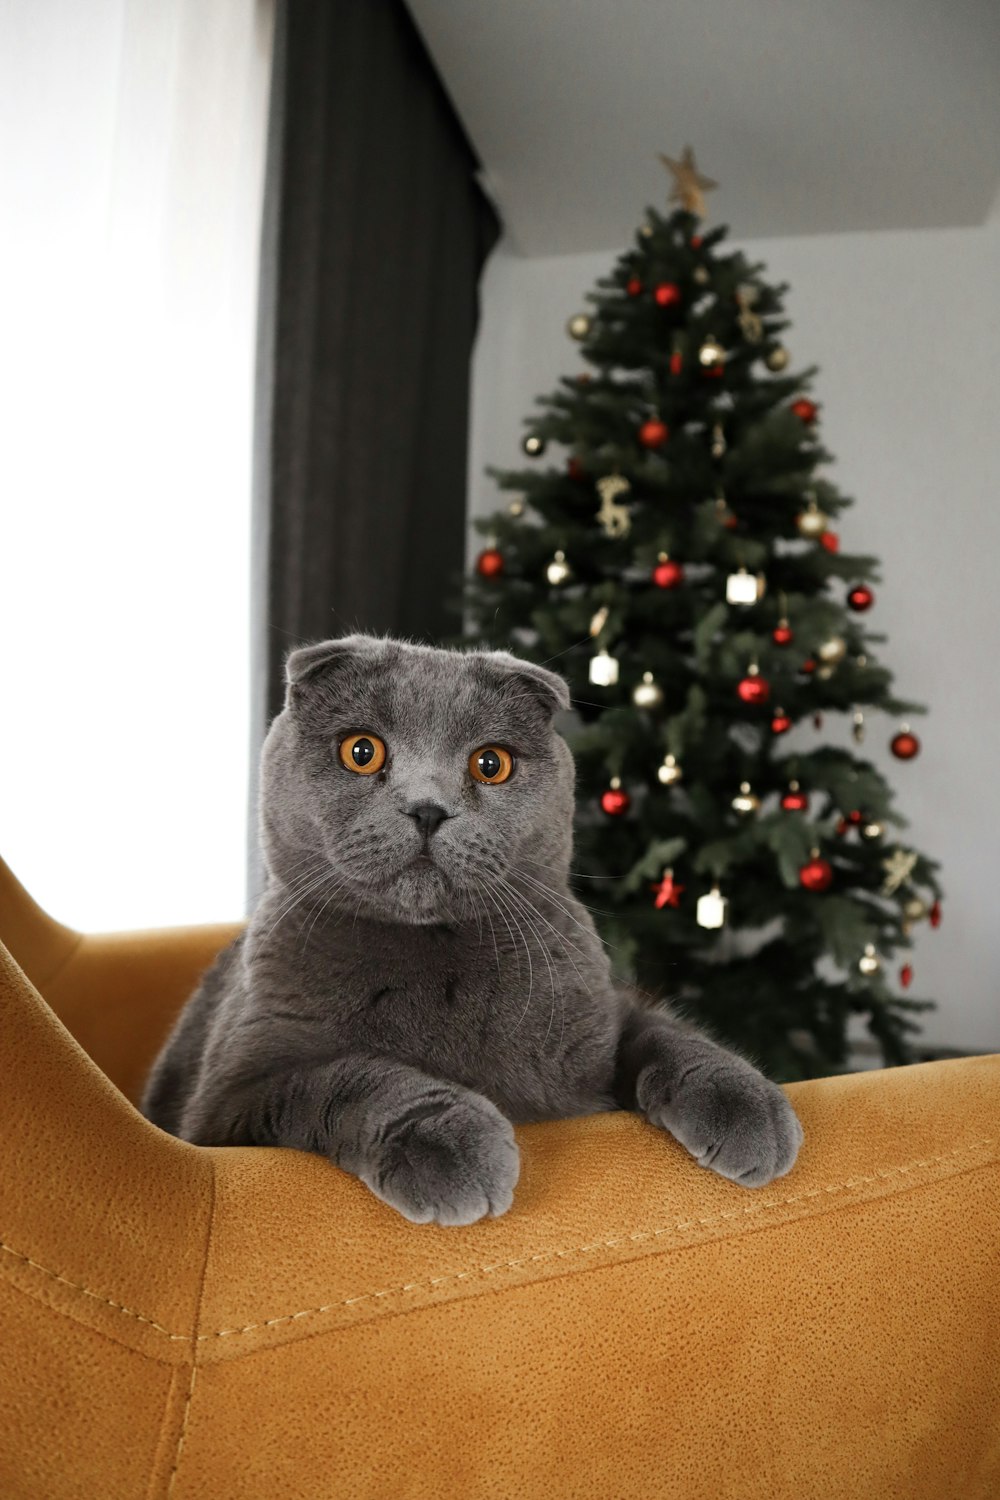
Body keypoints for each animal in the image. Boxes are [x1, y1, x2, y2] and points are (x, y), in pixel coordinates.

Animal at [140, 633, 803, 1218]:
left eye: (491, 763)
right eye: (362, 751)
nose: (428, 809)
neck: (437, 955)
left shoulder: (602, 1015)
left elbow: (667, 1033)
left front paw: (747, 1108)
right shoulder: (226, 1101)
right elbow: (340, 1076)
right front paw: (448, 1143)